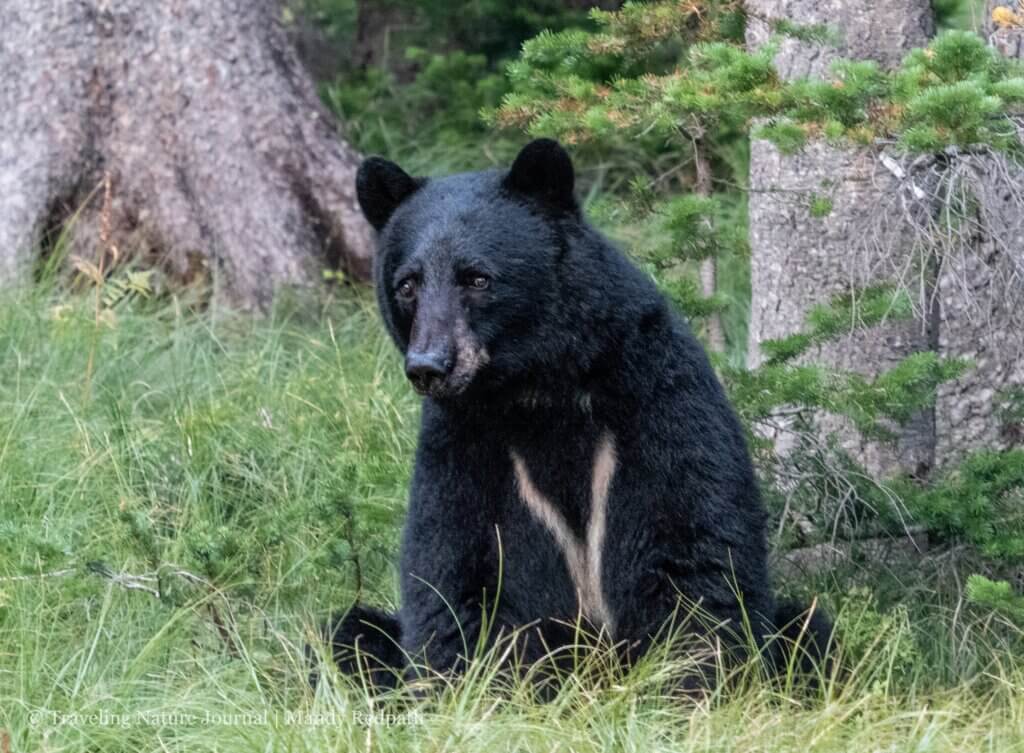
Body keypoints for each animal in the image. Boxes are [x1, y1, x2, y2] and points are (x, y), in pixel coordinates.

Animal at [318, 139, 831, 692]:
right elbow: (450, 568)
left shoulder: (655, 399)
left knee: (807, 625)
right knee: (347, 634)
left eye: (477, 278)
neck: (539, 388)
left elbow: (695, 544)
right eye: (407, 285)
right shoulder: (461, 438)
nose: (429, 366)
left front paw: (690, 684)